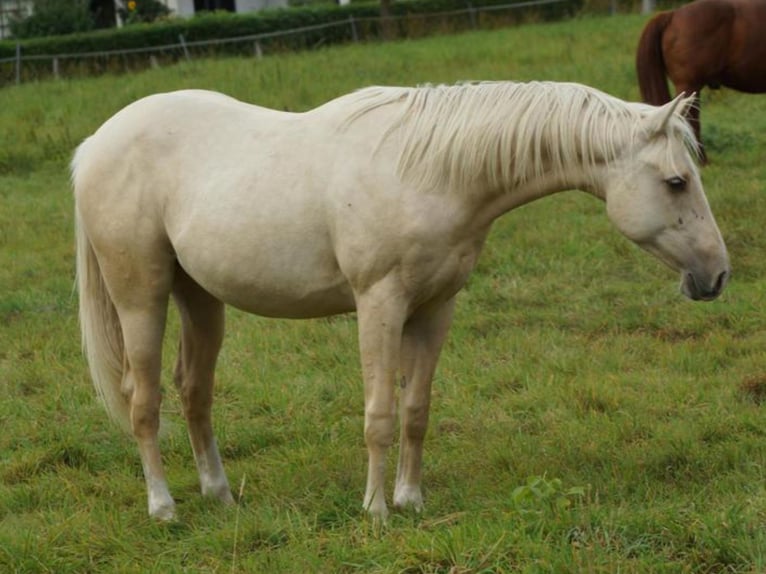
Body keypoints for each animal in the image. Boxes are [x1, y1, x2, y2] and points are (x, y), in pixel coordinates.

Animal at [72, 82, 730, 521]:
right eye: (677, 181)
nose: (718, 275)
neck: (430, 171)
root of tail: (95, 143)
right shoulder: (379, 304)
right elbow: (380, 415)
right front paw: (375, 510)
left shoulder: (435, 308)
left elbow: (416, 410)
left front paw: (410, 500)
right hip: (141, 297)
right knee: (144, 400)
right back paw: (164, 507)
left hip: (200, 299)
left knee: (194, 390)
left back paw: (221, 495)